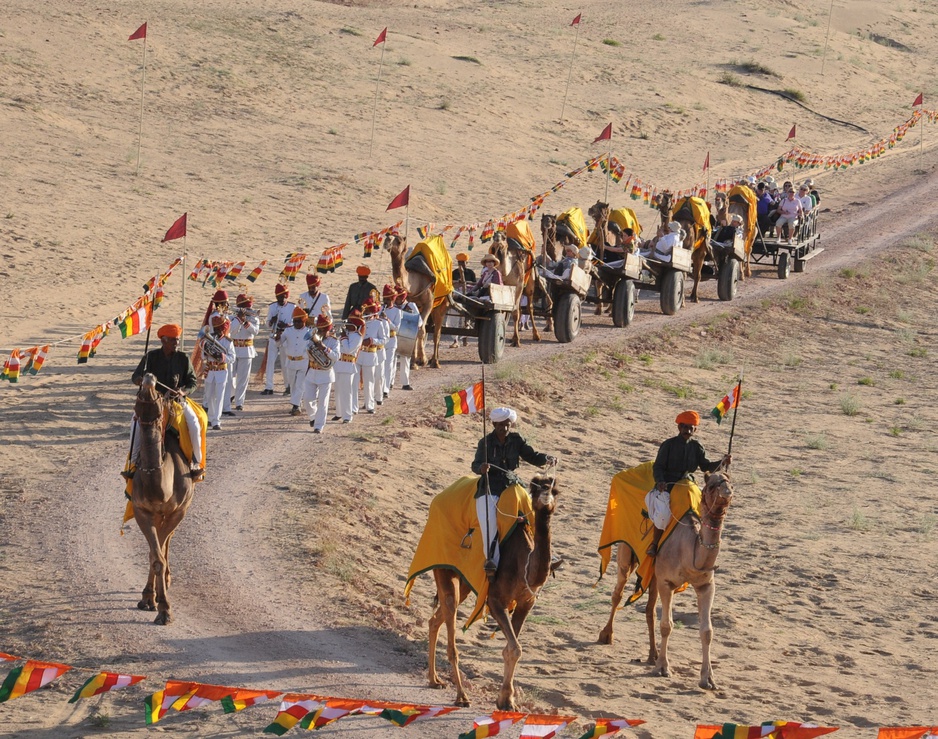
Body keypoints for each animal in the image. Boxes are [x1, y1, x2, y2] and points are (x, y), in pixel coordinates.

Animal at [130, 376, 194, 624]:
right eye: (139, 391)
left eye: (158, 394)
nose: (149, 377)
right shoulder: (142, 511)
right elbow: (154, 555)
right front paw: (150, 599)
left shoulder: (178, 511)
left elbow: (161, 551)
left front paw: (164, 608)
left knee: (168, 540)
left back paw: (166, 580)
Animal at [384, 233, 450, 368]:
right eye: (388, 235)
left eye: (399, 241)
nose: (387, 241)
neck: (415, 282)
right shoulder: (411, 303)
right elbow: (416, 329)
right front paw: (414, 362)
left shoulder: (429, 303)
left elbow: (421, 330)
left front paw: (423, 360)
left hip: (441, 306)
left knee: (437, 334)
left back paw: (435, 361)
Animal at [404, 474, 560, 712]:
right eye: (534, 489)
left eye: (555, 490)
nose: (546, 499)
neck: (525, 561)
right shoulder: (496, 601)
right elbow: (514, 648)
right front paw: (506, 700)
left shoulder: (526, 603)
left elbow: (512, 648)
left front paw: (506, 700)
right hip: (444, 569)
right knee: (449, 623)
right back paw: (461, 696)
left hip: (465, 584)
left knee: (435, 619)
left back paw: (434, 680)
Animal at [596, 466, 736, 692]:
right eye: (711, 485)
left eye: (730, 483)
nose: (728, 492)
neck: (690, 549)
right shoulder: (667, 583)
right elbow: (667, 625)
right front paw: (663, 668)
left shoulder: (706, 585)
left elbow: (707, 631)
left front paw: (708, 679)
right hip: (627, 555)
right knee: (618, 592)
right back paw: (607, 635)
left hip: (653, 574)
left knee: (649, 609)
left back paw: (652, 655)